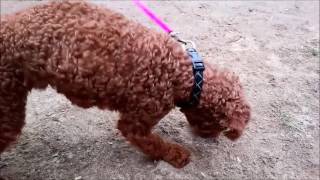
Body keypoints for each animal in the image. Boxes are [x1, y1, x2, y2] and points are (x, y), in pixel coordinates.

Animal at [0, 0, 250, 168]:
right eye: (220, 126)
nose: (213, 139)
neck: (186, 75)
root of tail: (8, 26)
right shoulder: (137, 121)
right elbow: (154, 143)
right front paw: (177, 155)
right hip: (8, 106)